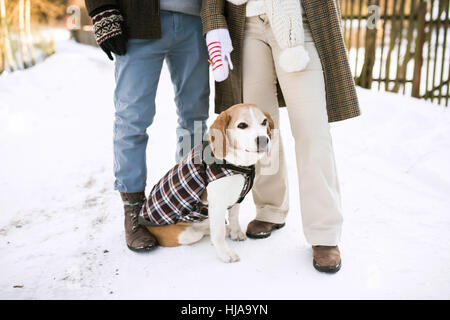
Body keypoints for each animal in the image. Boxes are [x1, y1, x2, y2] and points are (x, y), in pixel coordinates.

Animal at [138, 104, 274, 262]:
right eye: (242, 125)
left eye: (264, 122)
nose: (263, 140)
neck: (236, 164)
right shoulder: (217, 204)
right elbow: (218, 233)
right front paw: (225, 253)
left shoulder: (236, 198)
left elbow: (234, 217)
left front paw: (235, 233)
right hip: (187, 234)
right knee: (202, 232)